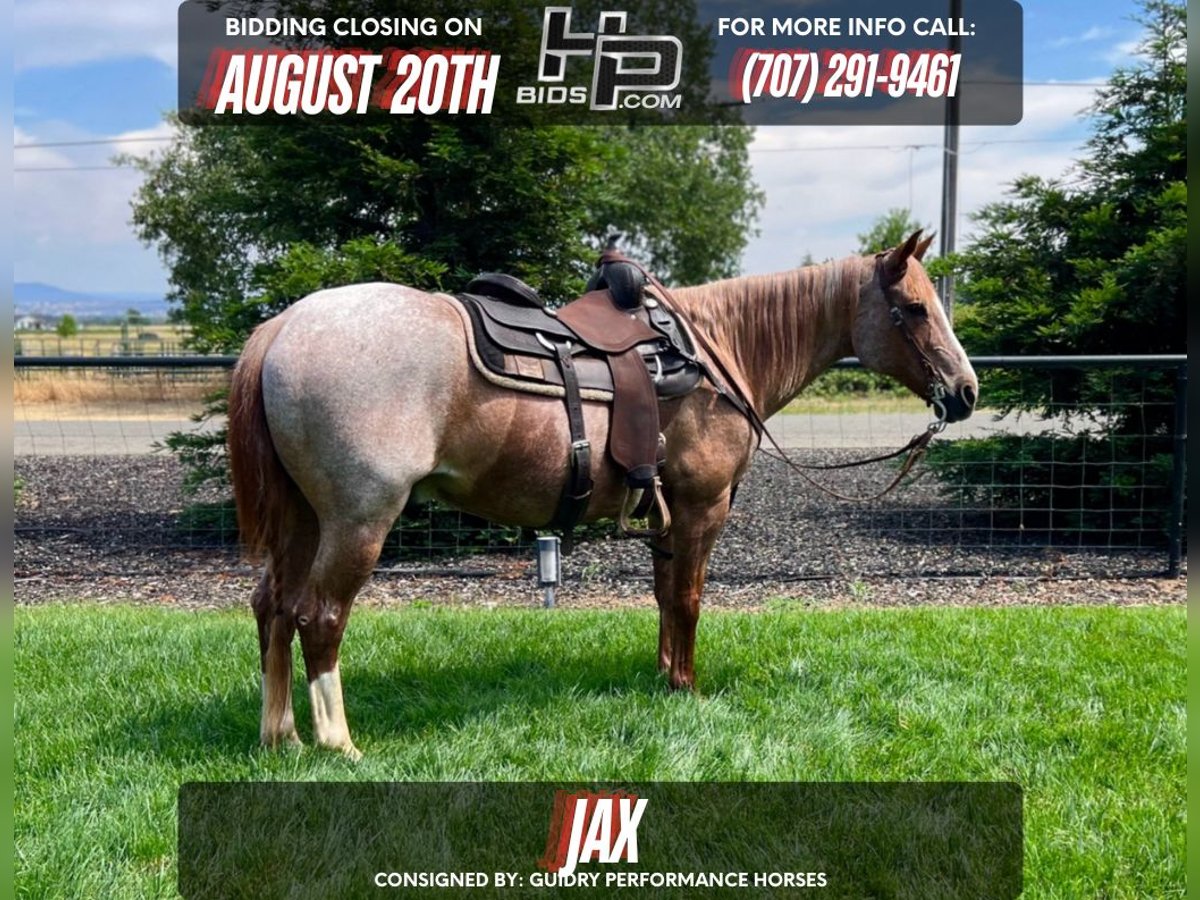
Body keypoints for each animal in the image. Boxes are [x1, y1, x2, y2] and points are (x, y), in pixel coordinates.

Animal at [228, 230, 977, 757]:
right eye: (914, 309)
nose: (967, 392)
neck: (716, 352)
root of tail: (284, 329)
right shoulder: (702, 508)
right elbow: (689, 598)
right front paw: (688, 689)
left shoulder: (668, 516)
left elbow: (665, 596)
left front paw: (665, 678)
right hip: (358, 519)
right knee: (320, 615)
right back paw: (338, 743)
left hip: (302, 518)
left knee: (274, 606)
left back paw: (280, 735)